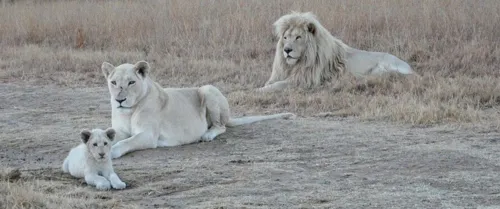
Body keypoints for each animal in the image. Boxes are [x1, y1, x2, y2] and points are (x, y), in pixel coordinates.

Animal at [102, 60, 296, 158]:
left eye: (131, 82)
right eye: (113, 82)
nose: (119, 100)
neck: (129, 111)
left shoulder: (149, 135)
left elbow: (126, 142)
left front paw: (112, 152)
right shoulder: (120, 130)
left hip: (208, 89)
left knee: (220, 126)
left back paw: (207, 135)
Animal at [258, 11, 418, 92]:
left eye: (298, 37)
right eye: (285, 37)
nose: (287, 50)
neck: (297, 63)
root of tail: (410, 68)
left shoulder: (305, 80)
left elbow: (278, 85)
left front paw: (258, 91)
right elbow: (271, 82)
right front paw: (264, 86)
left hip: (385, 65)